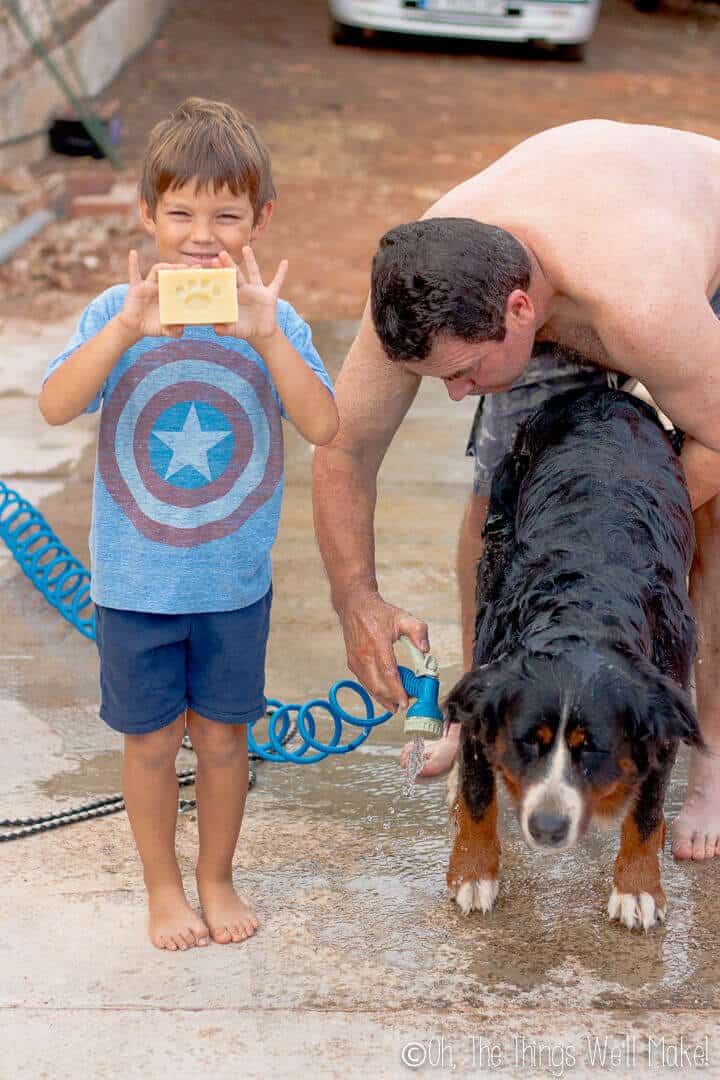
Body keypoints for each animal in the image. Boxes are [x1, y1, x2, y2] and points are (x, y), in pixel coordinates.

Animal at [444, 386, 703, 928]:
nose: (547, 827)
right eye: (530, 741)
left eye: (592, 747)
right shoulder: (487, 681)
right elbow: (479, 794)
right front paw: (474, 874)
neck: (585, 609)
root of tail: (597, 393)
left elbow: (647, 810)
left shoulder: (667, 698)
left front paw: (637, 887)